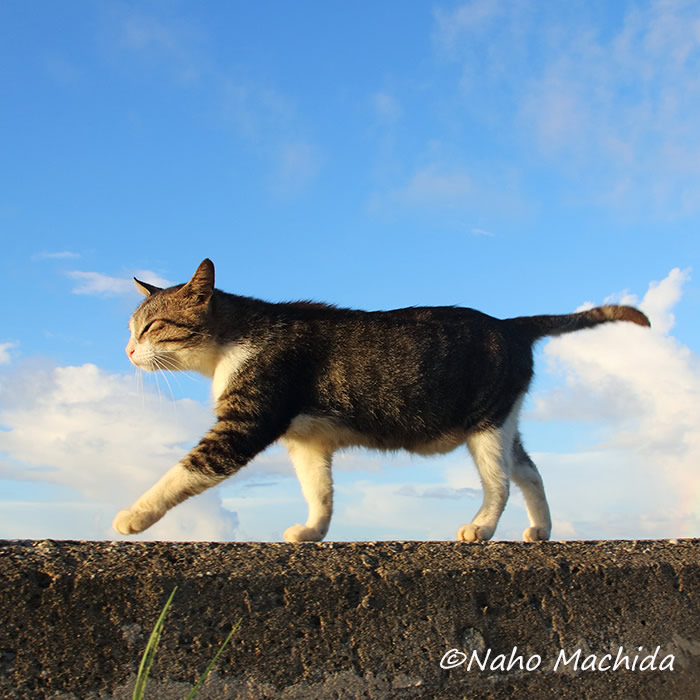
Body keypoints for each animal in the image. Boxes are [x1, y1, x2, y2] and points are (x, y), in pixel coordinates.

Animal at [113, 260, 652, 544]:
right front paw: (313, 531)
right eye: (131, 329)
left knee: (498, 483)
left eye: (152, 327)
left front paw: (135, 514)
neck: (231, 343)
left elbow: (185, 471)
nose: (128, 351)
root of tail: (511, 324)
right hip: (504, 419)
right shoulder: (306, 442)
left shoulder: (246, 422)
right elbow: (320, 491)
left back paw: (480, 528)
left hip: (484, 426)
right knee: (530, 471)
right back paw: (540, 529)